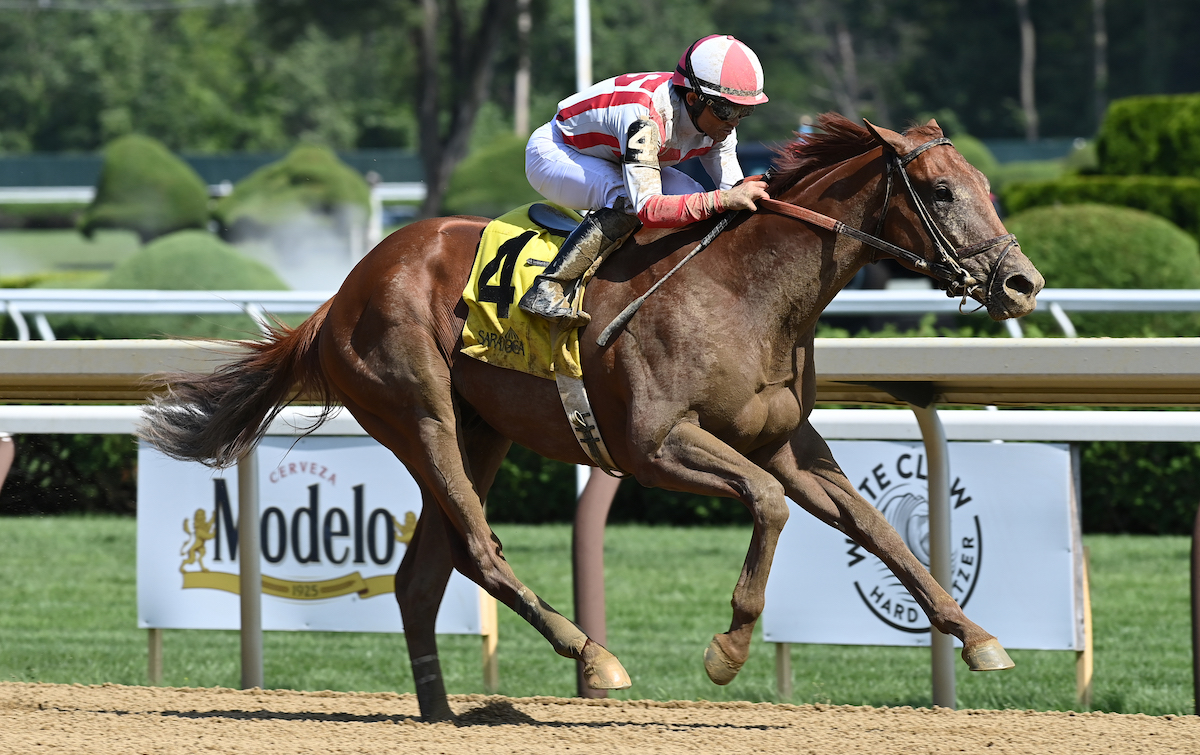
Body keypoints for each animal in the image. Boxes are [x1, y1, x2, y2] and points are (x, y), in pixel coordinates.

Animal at [138, 114, 1041, 720]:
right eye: (940, 190)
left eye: (987, 188)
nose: (1022, 283)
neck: (749, 293)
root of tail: (340, 294)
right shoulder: (655, 446)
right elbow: (767, 505)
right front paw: (727, 650)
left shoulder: (786, 443)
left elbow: (878, 529)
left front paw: (976, 634)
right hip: (420, 416)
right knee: (477, 546)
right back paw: (592, 655)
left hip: (481, 431)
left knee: (421, 573)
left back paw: (443, 714)